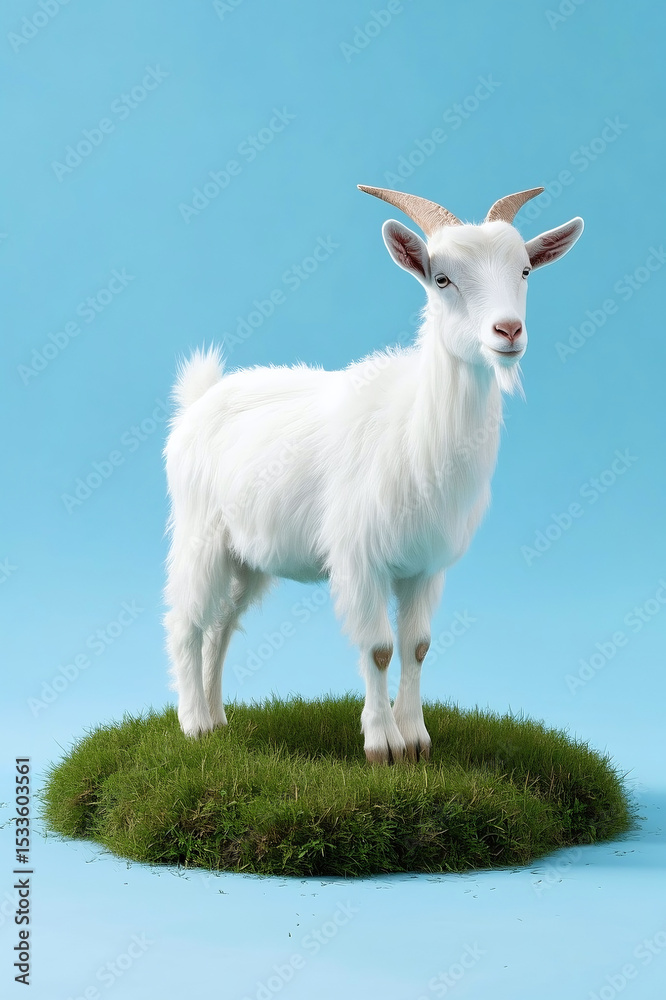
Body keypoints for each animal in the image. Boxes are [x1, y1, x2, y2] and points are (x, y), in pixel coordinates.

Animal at [164, 184, 583, 763]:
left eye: (524, 270)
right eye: (441, 278)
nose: (508, 331)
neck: (413, 427)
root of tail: (200, 398)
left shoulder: (424, 565)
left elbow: (417, 646)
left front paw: (416, 739)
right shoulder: (358, 557)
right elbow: (380, 648)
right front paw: (381, 743)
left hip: (246, 556)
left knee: (221, 625)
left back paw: (219, 718)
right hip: (200, 531)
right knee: (187, 621)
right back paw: (194, 725)